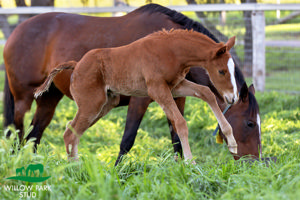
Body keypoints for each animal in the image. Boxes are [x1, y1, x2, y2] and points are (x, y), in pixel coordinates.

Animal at [35, 29, 238, 163]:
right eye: (221, 71)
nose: (232, 98)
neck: (171, 51)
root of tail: (76, 65)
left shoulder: (175, 86)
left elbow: (206, 93)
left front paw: (232, 142)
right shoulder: (157, 89)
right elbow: (180, 122)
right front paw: (190, 163)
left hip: (105, 105)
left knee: (72, 131)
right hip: (92, 104)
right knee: (70, 133)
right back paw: (77, 170)